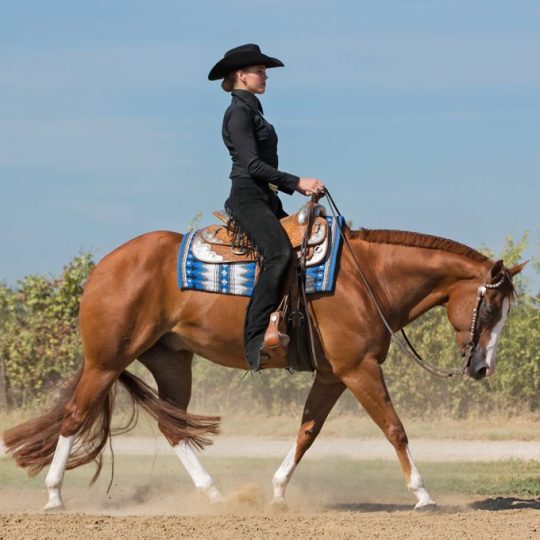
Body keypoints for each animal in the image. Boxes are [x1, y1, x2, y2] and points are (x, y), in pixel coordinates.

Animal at [2, 216, 524, 510]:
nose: (482, 369)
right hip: (106, 360)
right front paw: (423, 495)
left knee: (173, 426)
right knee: (75, 417)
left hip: (171, 361)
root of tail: (102, 268)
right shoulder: (359, 369)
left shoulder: (334, 374)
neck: (367, 278)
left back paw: (215, 495)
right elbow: (395, 429)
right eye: (491, 310)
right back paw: (54, 496)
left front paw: (276, 492)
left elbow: (307, 431)